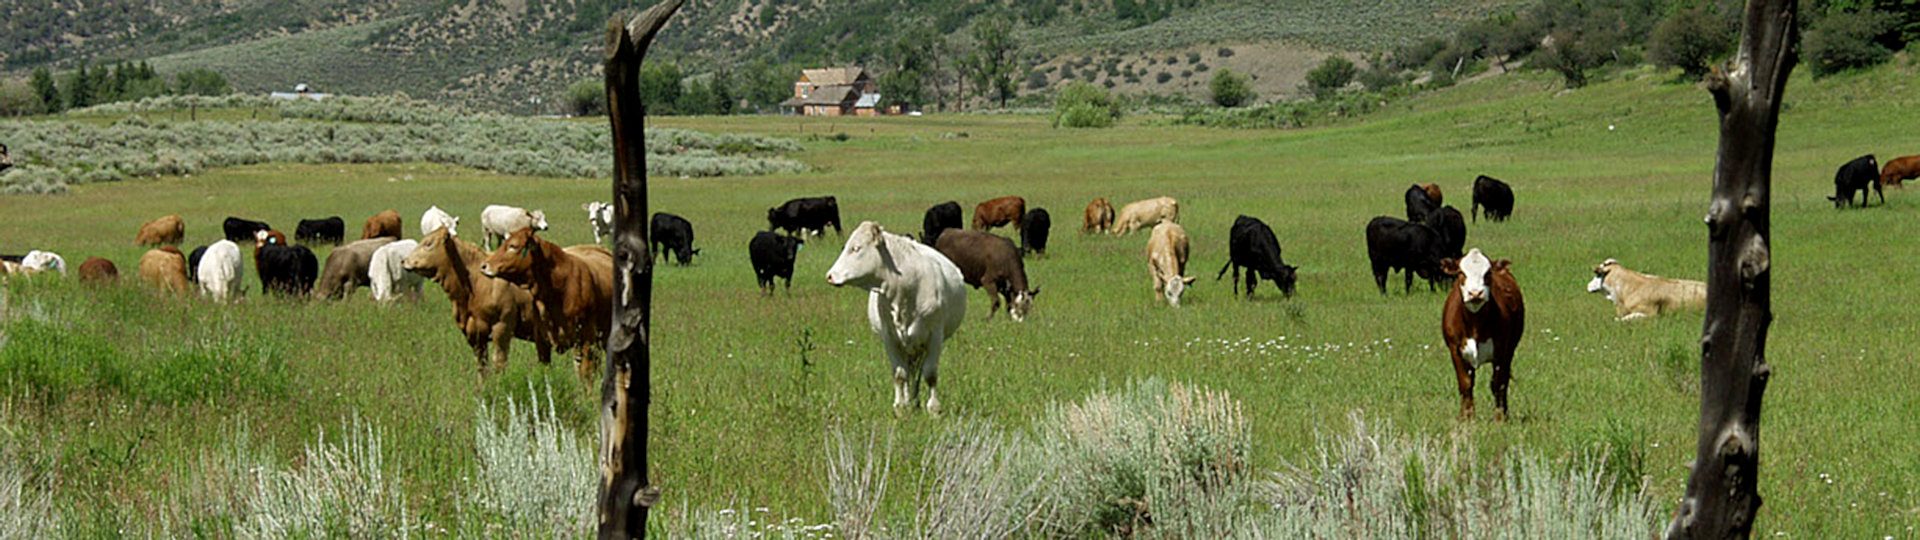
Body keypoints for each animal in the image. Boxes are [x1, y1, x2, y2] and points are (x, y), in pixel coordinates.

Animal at [402, 227, 551, 373]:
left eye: (428, 243)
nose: (404, 261)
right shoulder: (474, 334)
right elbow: (481, 365)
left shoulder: (502, 328)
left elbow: (499, 362)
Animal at [825, 221, 968, 416]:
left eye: (856, 248)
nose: (830, 276)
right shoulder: (890, 338)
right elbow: (899, 374)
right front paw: (900, 407)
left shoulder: (935, 336)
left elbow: (930, 374)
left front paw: (934, 408)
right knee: (909, 371)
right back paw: (910, 401)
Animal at [1440, 248, 1526, 421]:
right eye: (1461, 272)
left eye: (1488, 273)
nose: (1475, 293)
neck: (1474, 324)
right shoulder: (1455, 350)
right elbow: (1465, 383)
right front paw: (1466, 418)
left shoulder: (1502, 349)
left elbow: (1498, 383)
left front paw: (1500, 418)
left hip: (1511, 348)